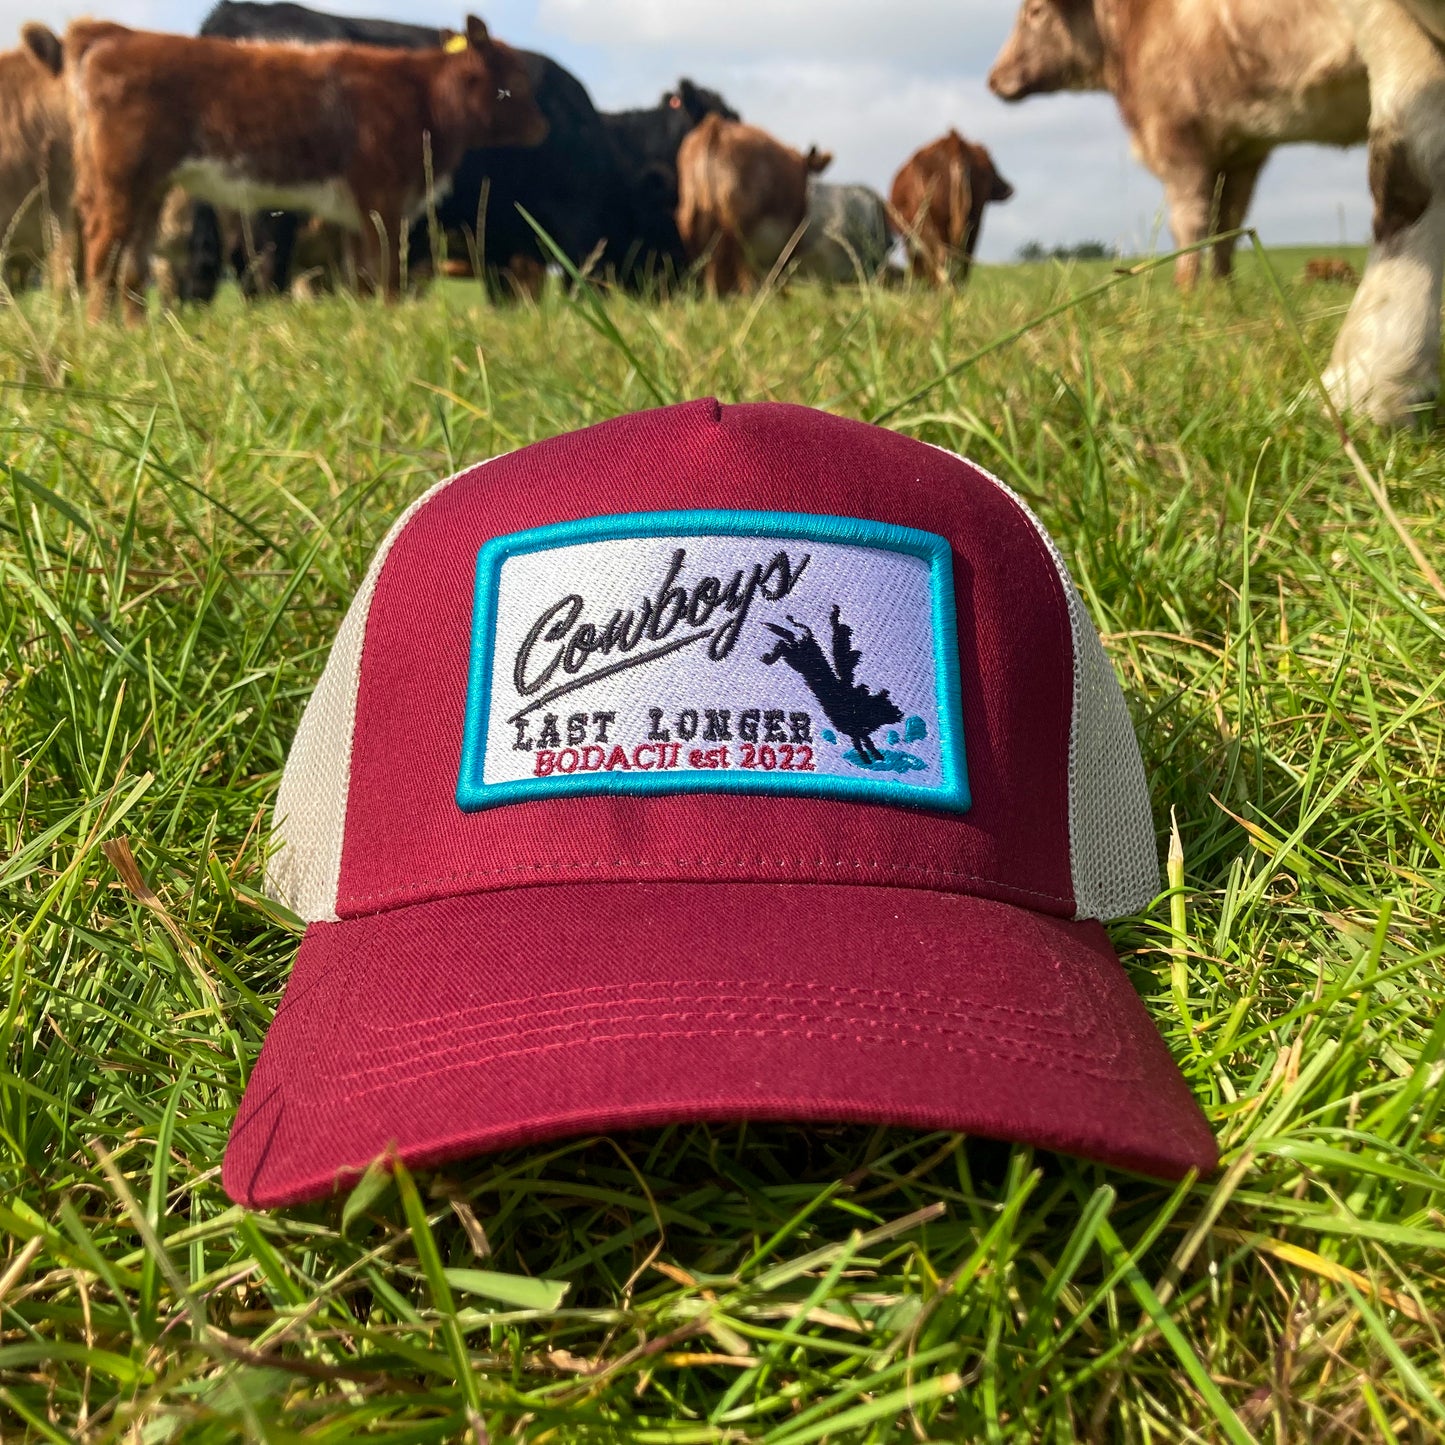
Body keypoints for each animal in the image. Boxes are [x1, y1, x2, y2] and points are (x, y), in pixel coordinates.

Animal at [62, 14, 549, 319]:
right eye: (514, 83)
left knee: (132, 260)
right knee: (103, 250)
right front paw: (392, 320)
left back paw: (133, 330)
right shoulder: (383, 197)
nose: (541, 128)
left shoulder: (357, 212)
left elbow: (363, 277)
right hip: (120, 180)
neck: (421, 97)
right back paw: (99, 330)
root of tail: (116, 33)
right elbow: (388, 273)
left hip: (152, 186)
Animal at [673, 114, 832, 294]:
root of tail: (715, 126)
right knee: (739, 266)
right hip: (740, 224)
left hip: (690, 216)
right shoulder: (794, 232)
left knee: (711, 263)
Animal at [994, 0, 1445, 424]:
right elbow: (1226, 224)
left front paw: (1370, 382)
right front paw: (1221, 296)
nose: (994, 79)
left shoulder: (1180, 140)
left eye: (1034, 11)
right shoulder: (1243, 150)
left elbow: (1191, 222)